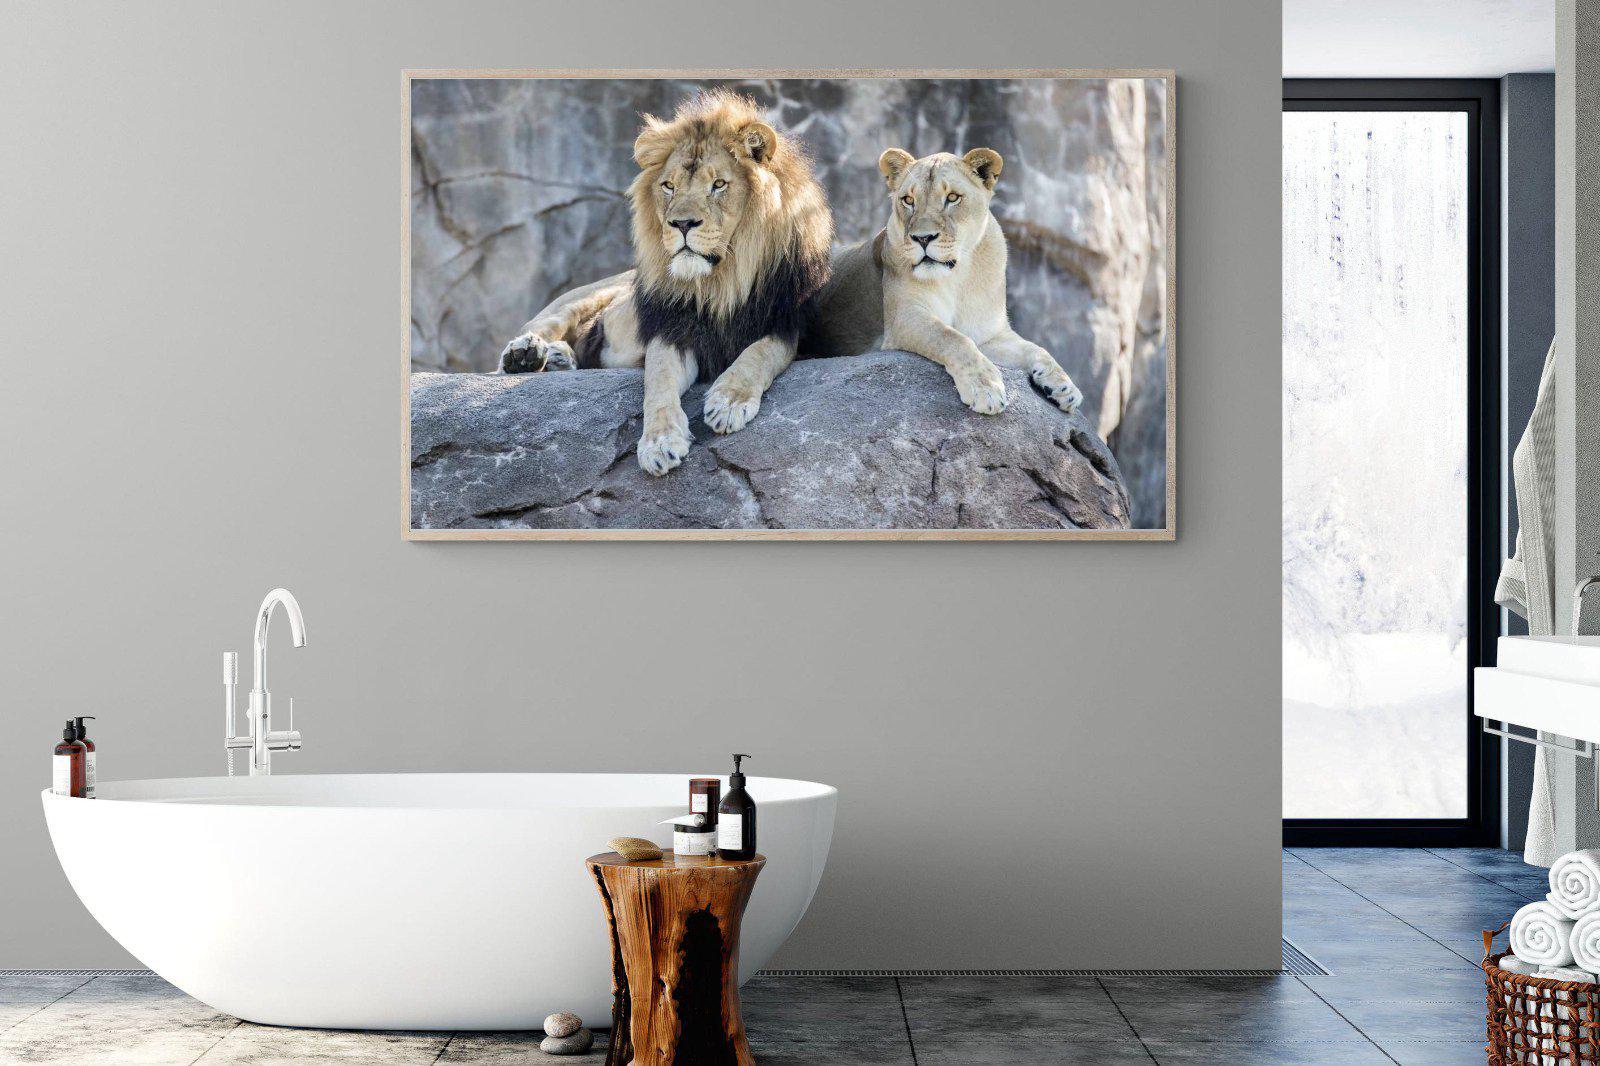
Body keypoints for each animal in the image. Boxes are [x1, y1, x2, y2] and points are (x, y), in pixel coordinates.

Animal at [498, 91, 833, 476]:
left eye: (718, 184)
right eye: (668, 186)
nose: (682, 224)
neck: (720, 283)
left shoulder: (786, 325)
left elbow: (758, 354)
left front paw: (729, 402)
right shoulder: (671, 329)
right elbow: (657, 382)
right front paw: (659, 443)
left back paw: (558, 358)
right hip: (581, 298)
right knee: (540, 328)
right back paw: (526, 354)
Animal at [805, 147, 1083, 417]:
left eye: (952, 198)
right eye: (908, 200)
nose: (923, 238)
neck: (958, 277)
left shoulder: (989, 334)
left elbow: (1036, 349)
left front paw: (1064, 386)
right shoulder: (904, 317)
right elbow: (952, 338)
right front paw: (985, 388)